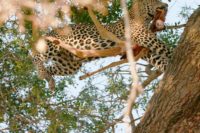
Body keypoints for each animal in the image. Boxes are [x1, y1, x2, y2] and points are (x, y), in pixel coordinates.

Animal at [32, 0, 172, 83]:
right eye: (156, 0)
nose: (166, 5)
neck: (143, 17)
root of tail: (50, 31)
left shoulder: (141, 48)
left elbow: (158, 57)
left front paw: (167, 66)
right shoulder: (144, 37)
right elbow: (165, 48)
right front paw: (174, 56)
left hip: (69, 64)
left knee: (52, 68)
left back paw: (49, 79)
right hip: (51, 45)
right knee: (35, 55)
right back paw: (42, 72)